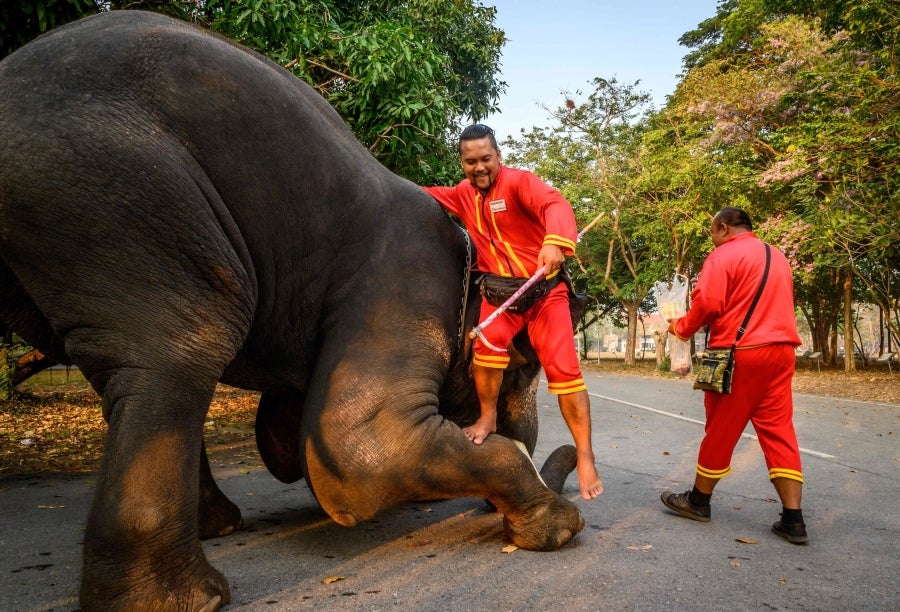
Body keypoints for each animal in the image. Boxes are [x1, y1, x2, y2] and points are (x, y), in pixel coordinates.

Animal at [0, 10, 585, 611]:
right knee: (181, 349)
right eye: (521, 372)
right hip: (117, 186)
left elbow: (289, 439)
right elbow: (357, 449)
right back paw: (195, 596)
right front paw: (558, 528)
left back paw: (220, 528)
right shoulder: (401, 286)